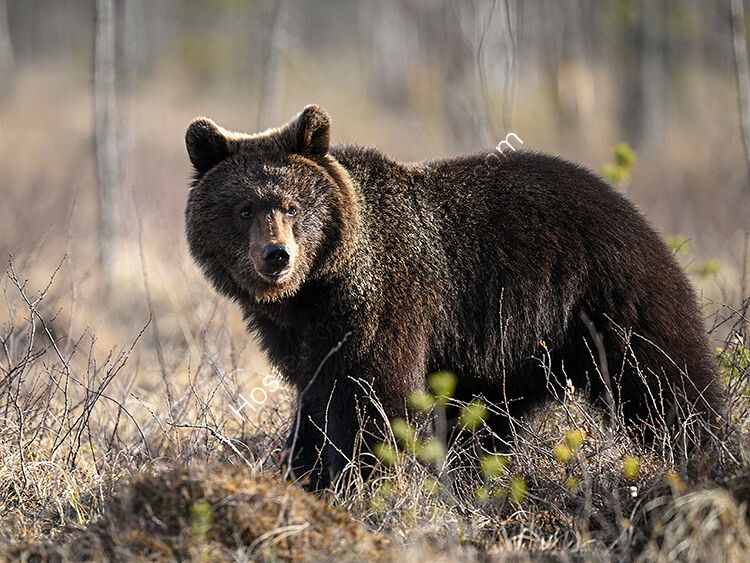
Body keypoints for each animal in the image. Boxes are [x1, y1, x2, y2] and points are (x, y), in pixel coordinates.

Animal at [185, 105, 721, 489]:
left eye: (294, 207)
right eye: (245, 209)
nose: (277, 256)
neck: (317, 289)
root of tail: (627, 205)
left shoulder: (382, 304)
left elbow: (372, 398)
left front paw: (362, 480)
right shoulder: (299, 335)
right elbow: (316, 398)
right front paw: (305, 470)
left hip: (608, 293)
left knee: (665, 378)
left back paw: (706, 451)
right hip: (509, 353)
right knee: (484, 422)